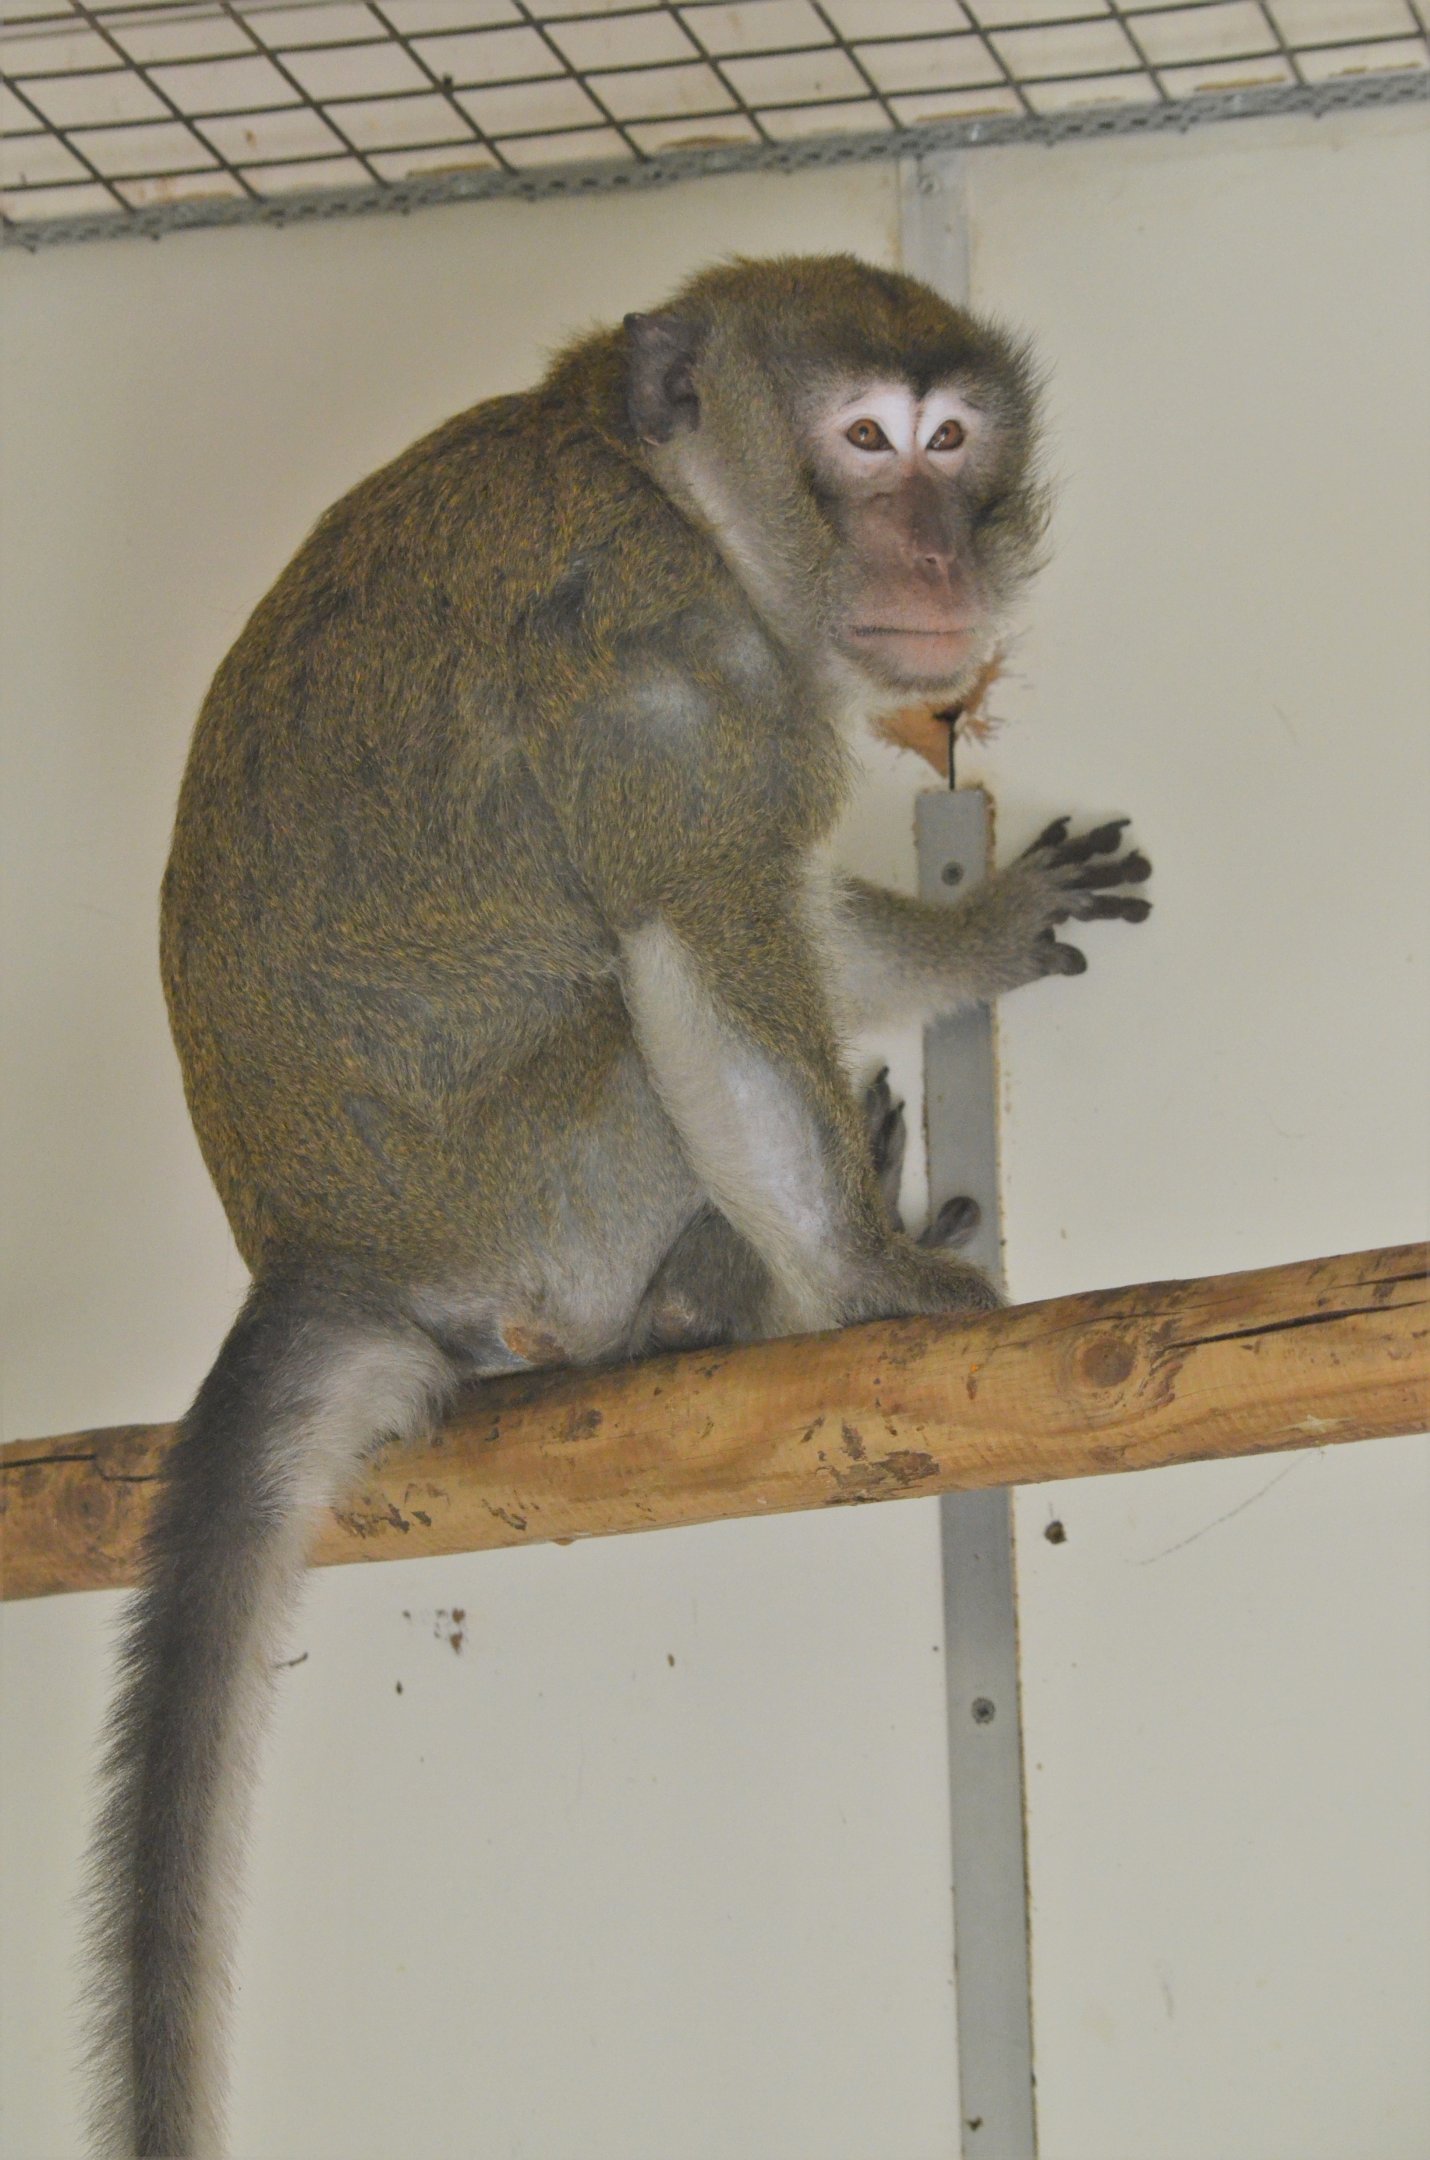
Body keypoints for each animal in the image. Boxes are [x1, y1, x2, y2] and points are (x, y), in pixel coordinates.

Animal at [82, 253, 1149, 2159]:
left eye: (953, 442)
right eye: (865, 441)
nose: (936, 553)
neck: (667, 486)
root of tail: (316, 1256)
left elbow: (783, 911)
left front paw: (969, 936)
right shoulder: (666, 664)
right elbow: (695, 933)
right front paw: (871, 1285)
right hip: (542, 1200)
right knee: (639, 1044)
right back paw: (714, 1306)